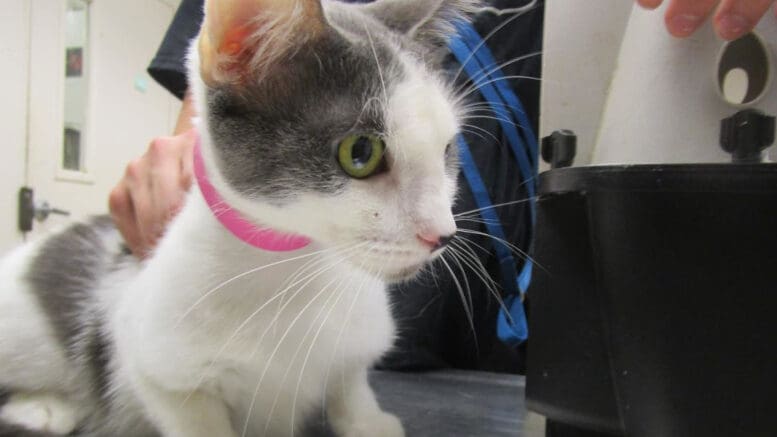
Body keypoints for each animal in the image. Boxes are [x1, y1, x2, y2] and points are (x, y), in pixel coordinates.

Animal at [0, 0, 478, 434]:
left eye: (447, 149)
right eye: (360, 153)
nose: (443, 234)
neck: (292, 273)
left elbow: (348, 380)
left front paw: (367, 421)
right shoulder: (157, 365)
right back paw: (44, 407)